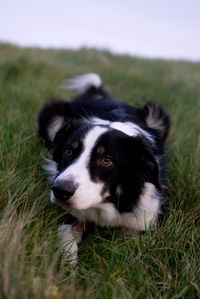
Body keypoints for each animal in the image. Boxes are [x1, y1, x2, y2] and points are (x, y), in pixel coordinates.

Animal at [37, 74, 169, 266]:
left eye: (106, 160)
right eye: (68, 152)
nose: (60, 191)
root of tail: (99, 94)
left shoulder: (145, 216)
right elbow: (67, 237)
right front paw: (67, 263)